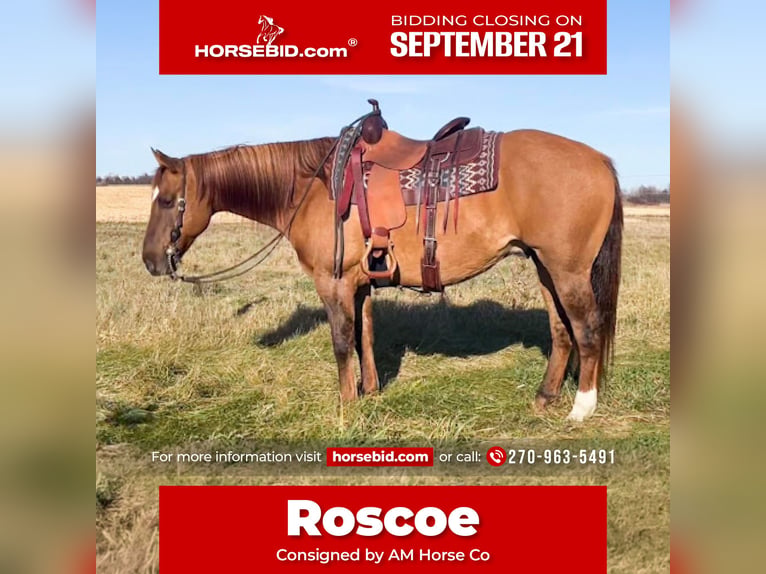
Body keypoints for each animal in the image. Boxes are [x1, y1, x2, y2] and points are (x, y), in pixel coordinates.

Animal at [141, 121, 622, 422]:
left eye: (166, 200)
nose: (149, 260)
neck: (312, 188)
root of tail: (599, 159)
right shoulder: (360, 285)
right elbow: (365, 337)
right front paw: (369, 392)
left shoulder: (333, 284)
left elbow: (341, 343)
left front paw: (346, 404)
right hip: (545, 268)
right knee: (561, 331)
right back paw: (545, 397)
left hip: (568, 272)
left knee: (587, 330)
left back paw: (582, 408)